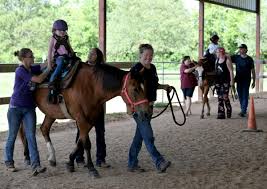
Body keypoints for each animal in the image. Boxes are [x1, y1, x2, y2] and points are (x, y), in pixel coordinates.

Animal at [20, 62, 151, 177]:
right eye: (135, 89)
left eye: (145, 87)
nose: (146, 113)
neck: (92, 87)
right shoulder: (81, 119)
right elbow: (86, 143)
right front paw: (92, 168)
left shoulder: (90, 120)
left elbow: (80, 141)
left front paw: (70, 162)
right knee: (23, 132)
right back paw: (27, 158)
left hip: (51, 113)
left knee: (44, 129)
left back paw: (52, 158)